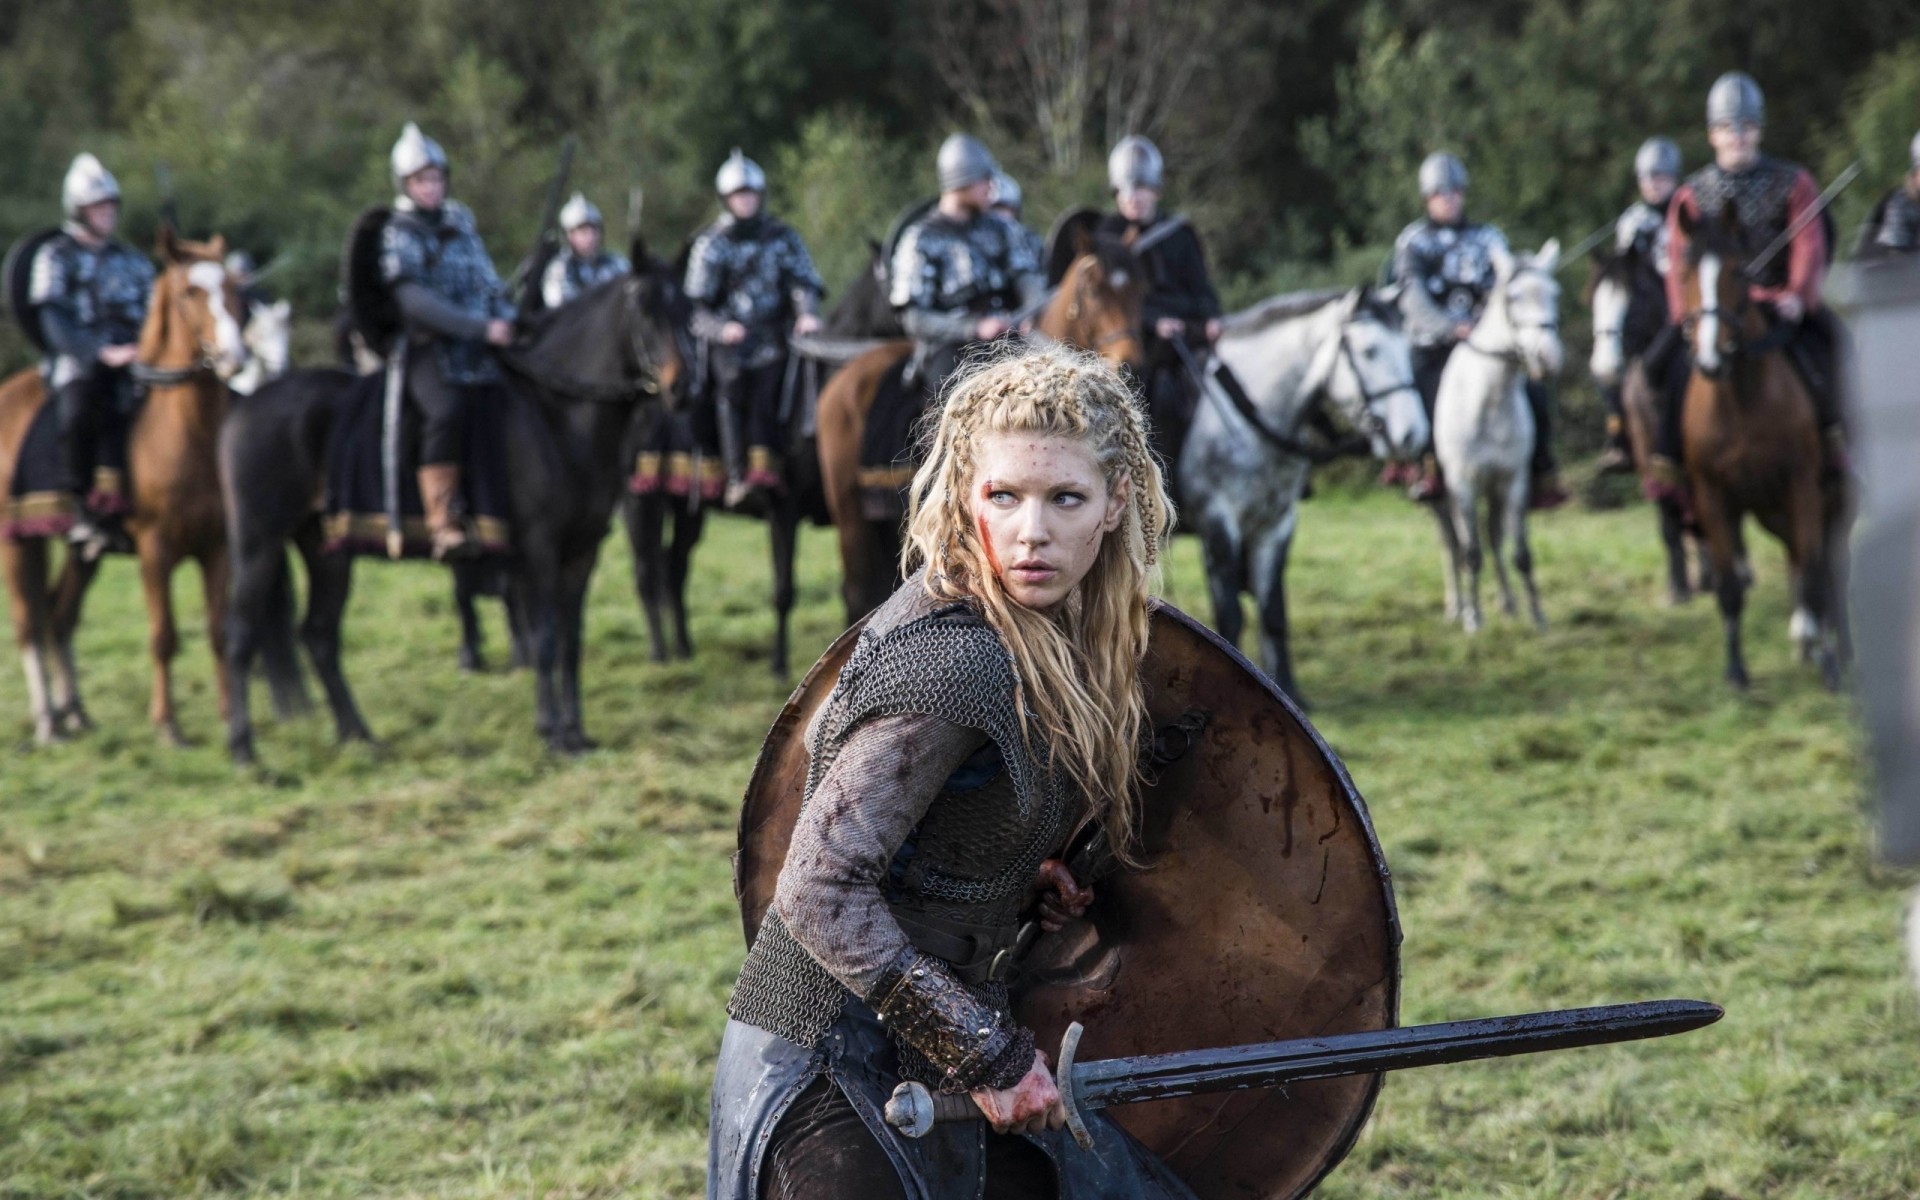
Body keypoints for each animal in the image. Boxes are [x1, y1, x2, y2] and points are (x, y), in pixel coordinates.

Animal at [0, 229, 259, 744]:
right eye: (189, 292)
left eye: (231, 288)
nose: (233, 357)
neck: (186, 434)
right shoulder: (155, 550)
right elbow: (163, 636)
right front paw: (167, 725)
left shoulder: (216, 547)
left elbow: (219, 632)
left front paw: (229, 717)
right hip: (18, 544)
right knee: (28, 623)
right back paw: (48, 723)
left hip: (83, 552)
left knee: (59, 615)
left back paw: (75, 712)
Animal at [220, 264, 687, 764]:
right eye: (644, 310)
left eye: (686, 308)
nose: (681, 385)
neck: (556, 415)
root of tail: (243, 407)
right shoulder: (538, 552)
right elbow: (543, 638)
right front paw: (552, 732)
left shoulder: (580, 553)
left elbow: (570, 642)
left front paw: (577, 732)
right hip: (259, 544)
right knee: (240, 636)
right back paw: (245, 750)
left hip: (327, 550)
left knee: (319, 636)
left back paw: (360, 736)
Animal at [1175, 282, 1436, 702]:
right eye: (1369, 351)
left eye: (1406, 350)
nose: (1411, 434)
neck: (1248, 416)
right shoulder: (1219, 521)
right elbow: (1229, 615)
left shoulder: (1276, 524)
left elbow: (1273, 613)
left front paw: (1287, 689)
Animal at [1681, 202, 1843, 687]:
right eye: (1686, 271)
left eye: (1738, 270)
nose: (1710, 359)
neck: (1740, 400)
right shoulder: (1713, 497)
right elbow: (1730, 584)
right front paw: (1736, 670)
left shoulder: (1802, 487)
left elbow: (1813, 572)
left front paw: (1828, 663)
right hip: (1773, 513)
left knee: (1827, 567)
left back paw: (1831, 645)